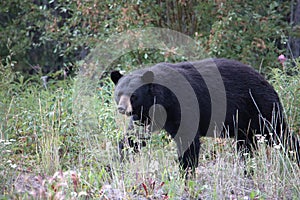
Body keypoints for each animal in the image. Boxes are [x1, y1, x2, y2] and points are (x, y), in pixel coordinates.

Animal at [111, 58, 298, 173]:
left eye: (134, 95)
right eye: (119, 93)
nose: (122, 108)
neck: (162, 101)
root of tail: (267, 82)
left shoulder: (183, 106)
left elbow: (188, 140)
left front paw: (186, 173)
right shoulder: (145, 117)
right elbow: (132, 139)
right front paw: (113, 165)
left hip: (260, 107)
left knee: (280, 132)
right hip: (244, 123)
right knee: (246, 147)